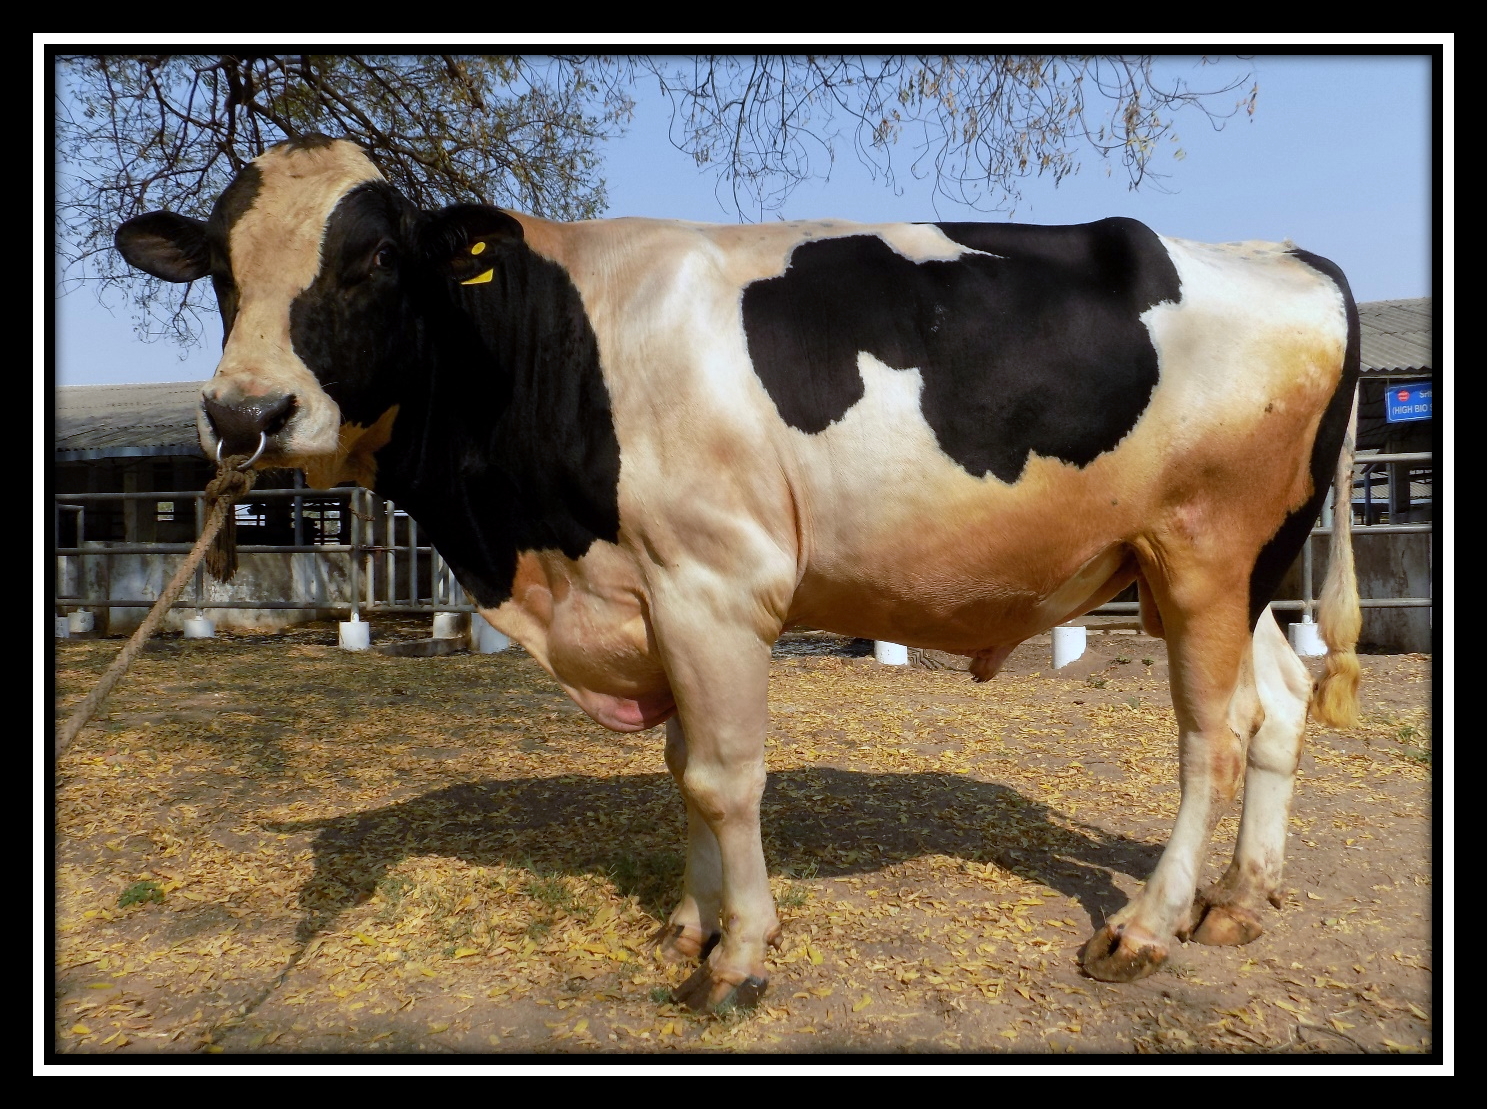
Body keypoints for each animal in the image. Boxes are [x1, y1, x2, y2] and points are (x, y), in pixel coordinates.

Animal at [115, 134, 1361, 1010]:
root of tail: (1284, 256)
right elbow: (681, 774)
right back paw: (1241, 899)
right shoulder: (652, 597)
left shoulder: (715, 587)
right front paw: (689, 922)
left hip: (1206, 554)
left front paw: (739, 956)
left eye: (373, 257)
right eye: (218, 268)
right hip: (1225, 569)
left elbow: (723, 777)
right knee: (1280, 699)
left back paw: (1148, 924)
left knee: (1212, 731)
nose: (245, 414)